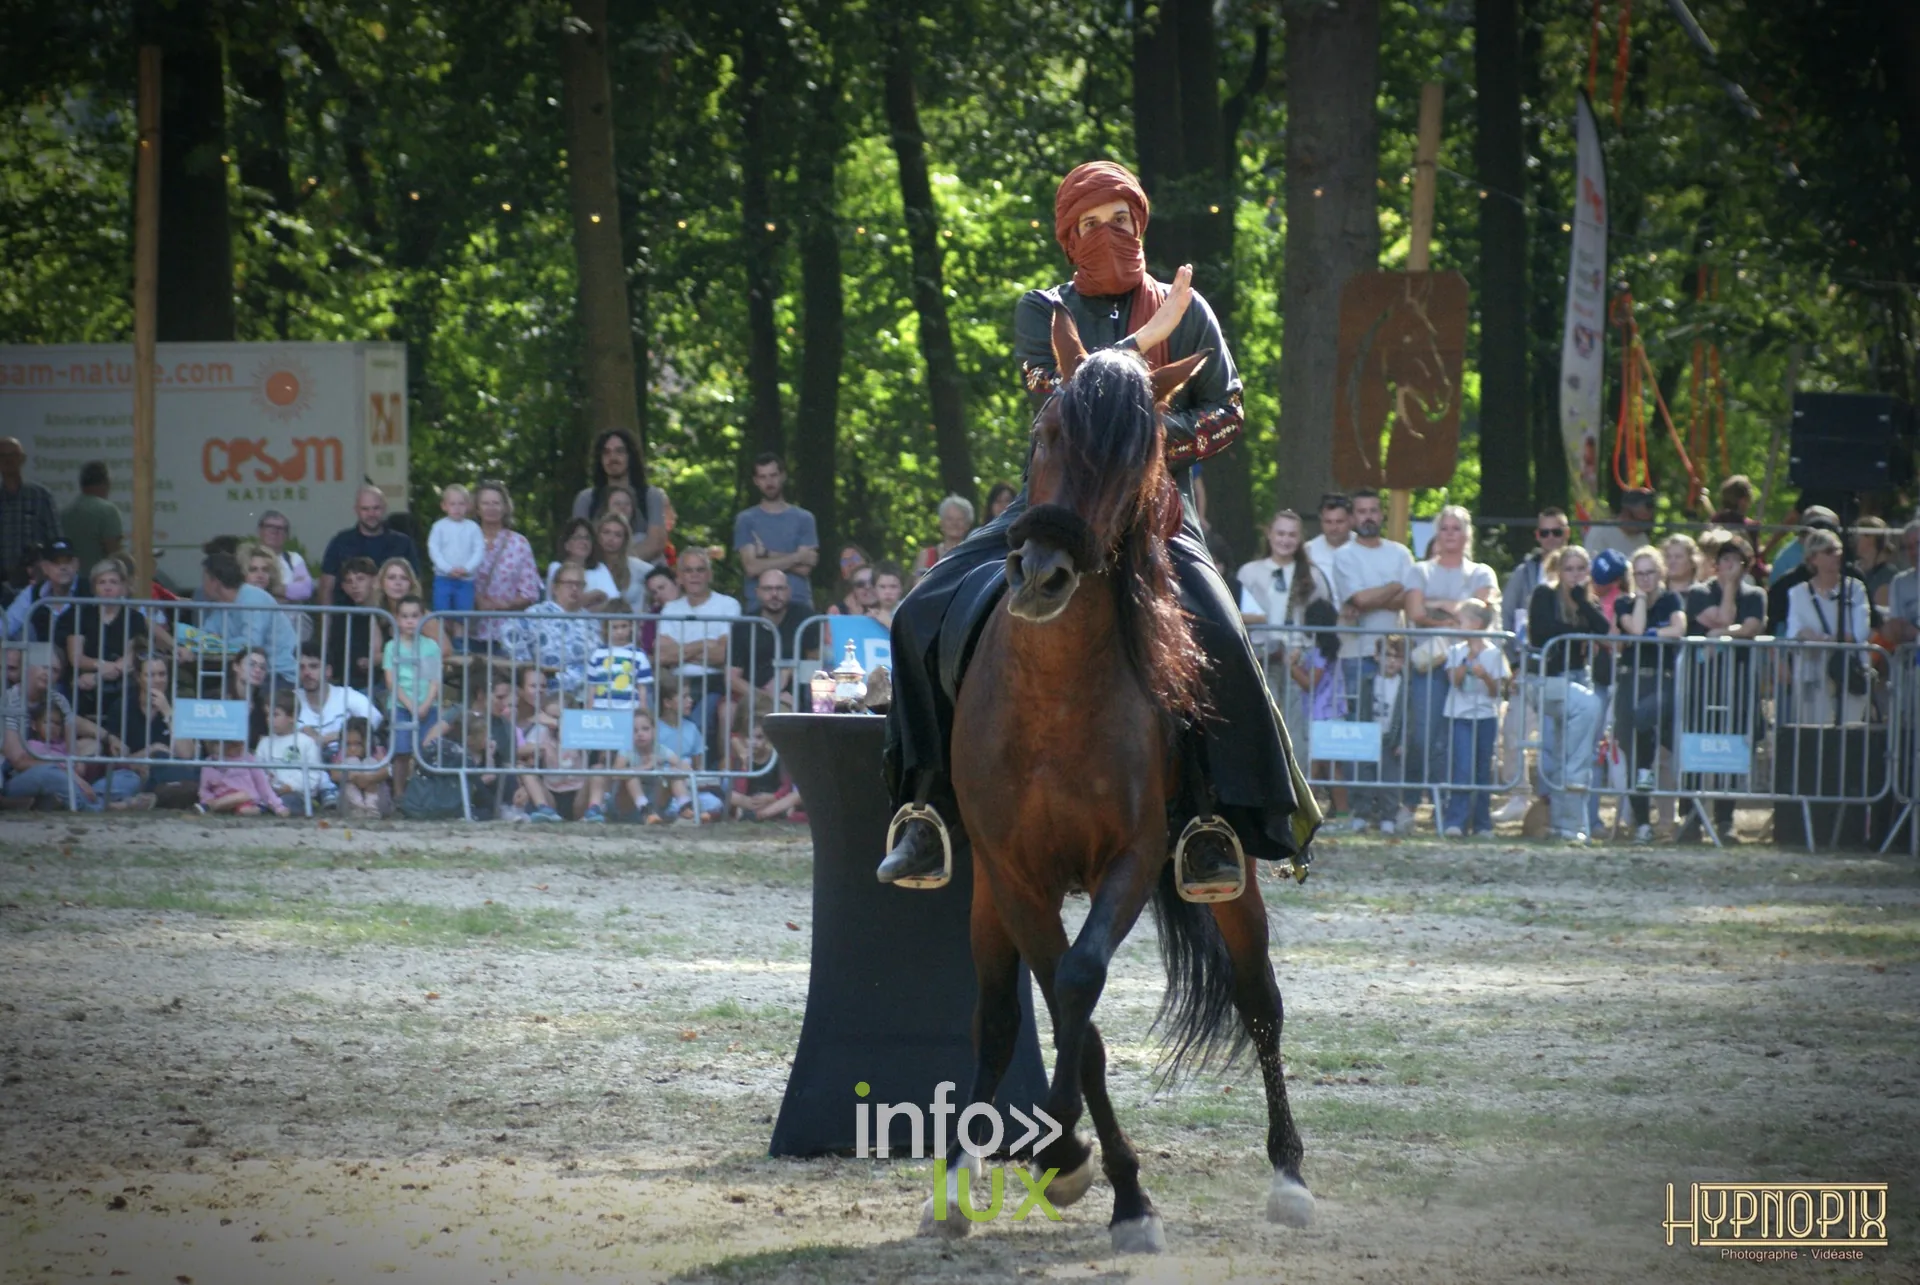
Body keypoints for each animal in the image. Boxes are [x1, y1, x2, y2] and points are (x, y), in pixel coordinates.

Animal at [929, 314, 1315, 1252]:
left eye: (1142, 457)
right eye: (1045, 431)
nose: (1041, 574)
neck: (1052, 697)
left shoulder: (1133, 860)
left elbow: (1079, 983)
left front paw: (1088, 1166)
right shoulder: (1015, 875)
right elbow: (1066, 1009)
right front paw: (1081, 1165)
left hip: (1226, 876)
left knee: (1260, 1001)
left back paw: (1289, 1174)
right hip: (985, 893)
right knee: (994, 1018)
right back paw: (956, 1178)